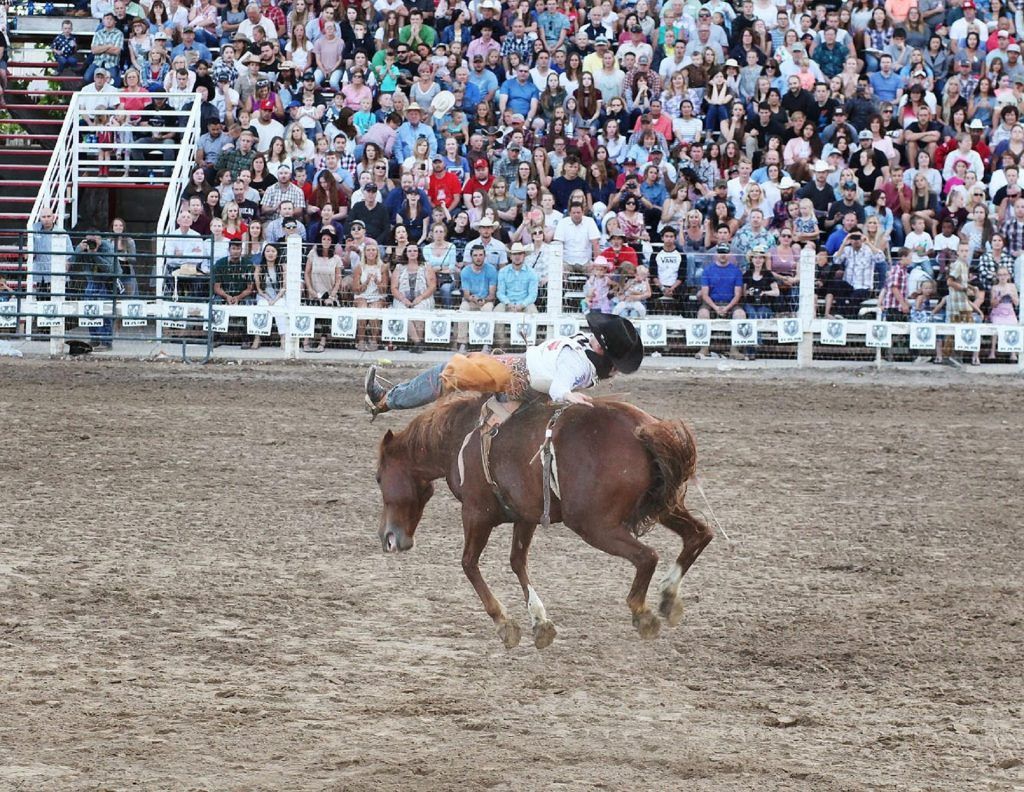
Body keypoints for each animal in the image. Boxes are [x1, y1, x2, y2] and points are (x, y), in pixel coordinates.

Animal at [372, 391, 716, 647]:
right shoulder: (526, 514)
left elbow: (469, 564)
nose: (388, 538)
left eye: (377, 477)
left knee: (648, 556)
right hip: (664, 505)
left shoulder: (475, 512)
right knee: (700, 534)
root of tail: (643, 427)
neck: (458, 438)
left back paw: (643, 612)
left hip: (595, 525)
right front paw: (540, 622)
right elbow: (517, 562)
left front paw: (505, 624)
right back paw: (668, 598)